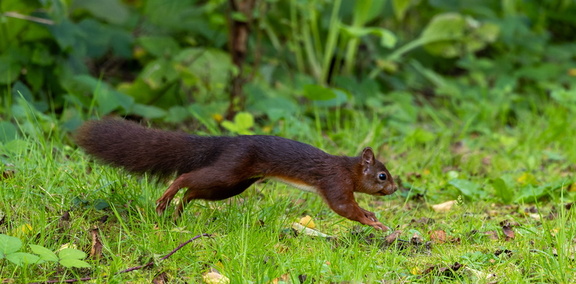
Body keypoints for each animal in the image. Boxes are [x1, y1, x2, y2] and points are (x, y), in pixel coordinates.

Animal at [76, 117, 398, 231]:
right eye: (382, 176)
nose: (395, 189)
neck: (348, 169)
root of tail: (225, 142)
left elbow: (353, 207)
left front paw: (372, 216)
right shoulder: (334, 181)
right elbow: (344, 207)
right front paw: (373, 222)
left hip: (231, 186)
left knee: (193, 191)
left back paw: (178, 212)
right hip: (229, 172)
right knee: (184, 179)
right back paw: (166, 199)